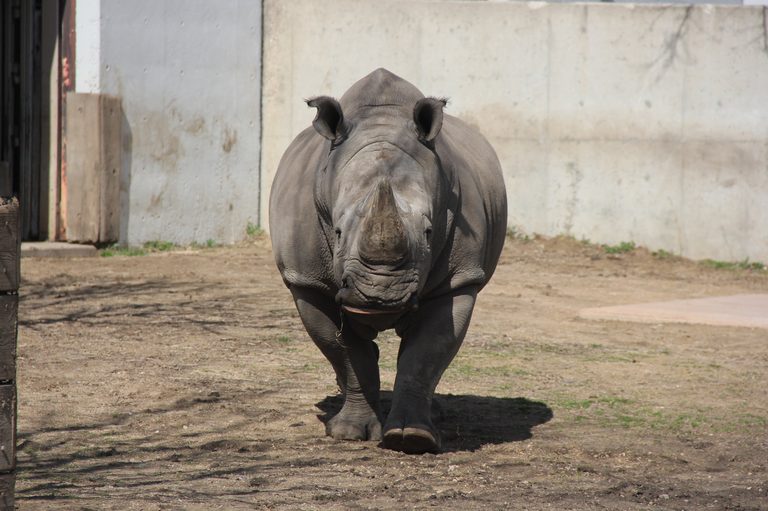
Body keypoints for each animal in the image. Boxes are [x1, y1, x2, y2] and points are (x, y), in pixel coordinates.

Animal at [269, 68, 507, 454]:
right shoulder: (307, 281)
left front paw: (411, 438)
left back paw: (435, 414)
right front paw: (348, 433)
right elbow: (347, 353)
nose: (380, 295)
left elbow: (425, 355)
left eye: (429, 231)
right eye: (337, 232)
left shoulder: (459, 279)